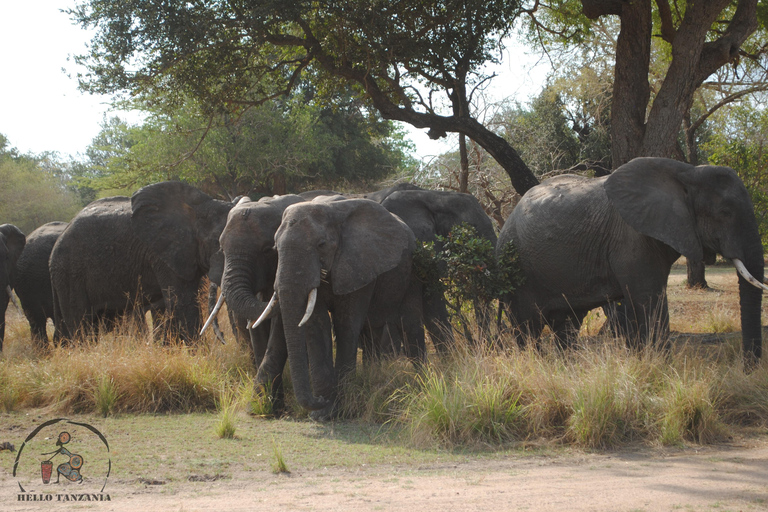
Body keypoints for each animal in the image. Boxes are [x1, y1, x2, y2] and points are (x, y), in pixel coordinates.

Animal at [49, 182, 232, 342]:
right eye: (218, 243)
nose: (223, 338)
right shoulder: (162, 255)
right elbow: (183, 304)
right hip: (70, 273)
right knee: (81, 325)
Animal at [260, 196, 426, 416]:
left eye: (321, 245)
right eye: (275, 247)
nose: (318, 399)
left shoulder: (360, 262)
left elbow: (345, 325)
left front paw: (336, 408)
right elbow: (317, 324)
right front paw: (323, 412)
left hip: (412, 271)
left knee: (410, 324)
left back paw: (423, 383)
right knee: (371, 330)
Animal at [496, 156, 764, 360]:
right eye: (725, 213)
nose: (747, 368)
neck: (687, 171)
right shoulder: (631, 238)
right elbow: (648, 298)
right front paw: (660, 366)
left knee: (567, 325)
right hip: (518, 273)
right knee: (527, 328)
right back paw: (535, 363)